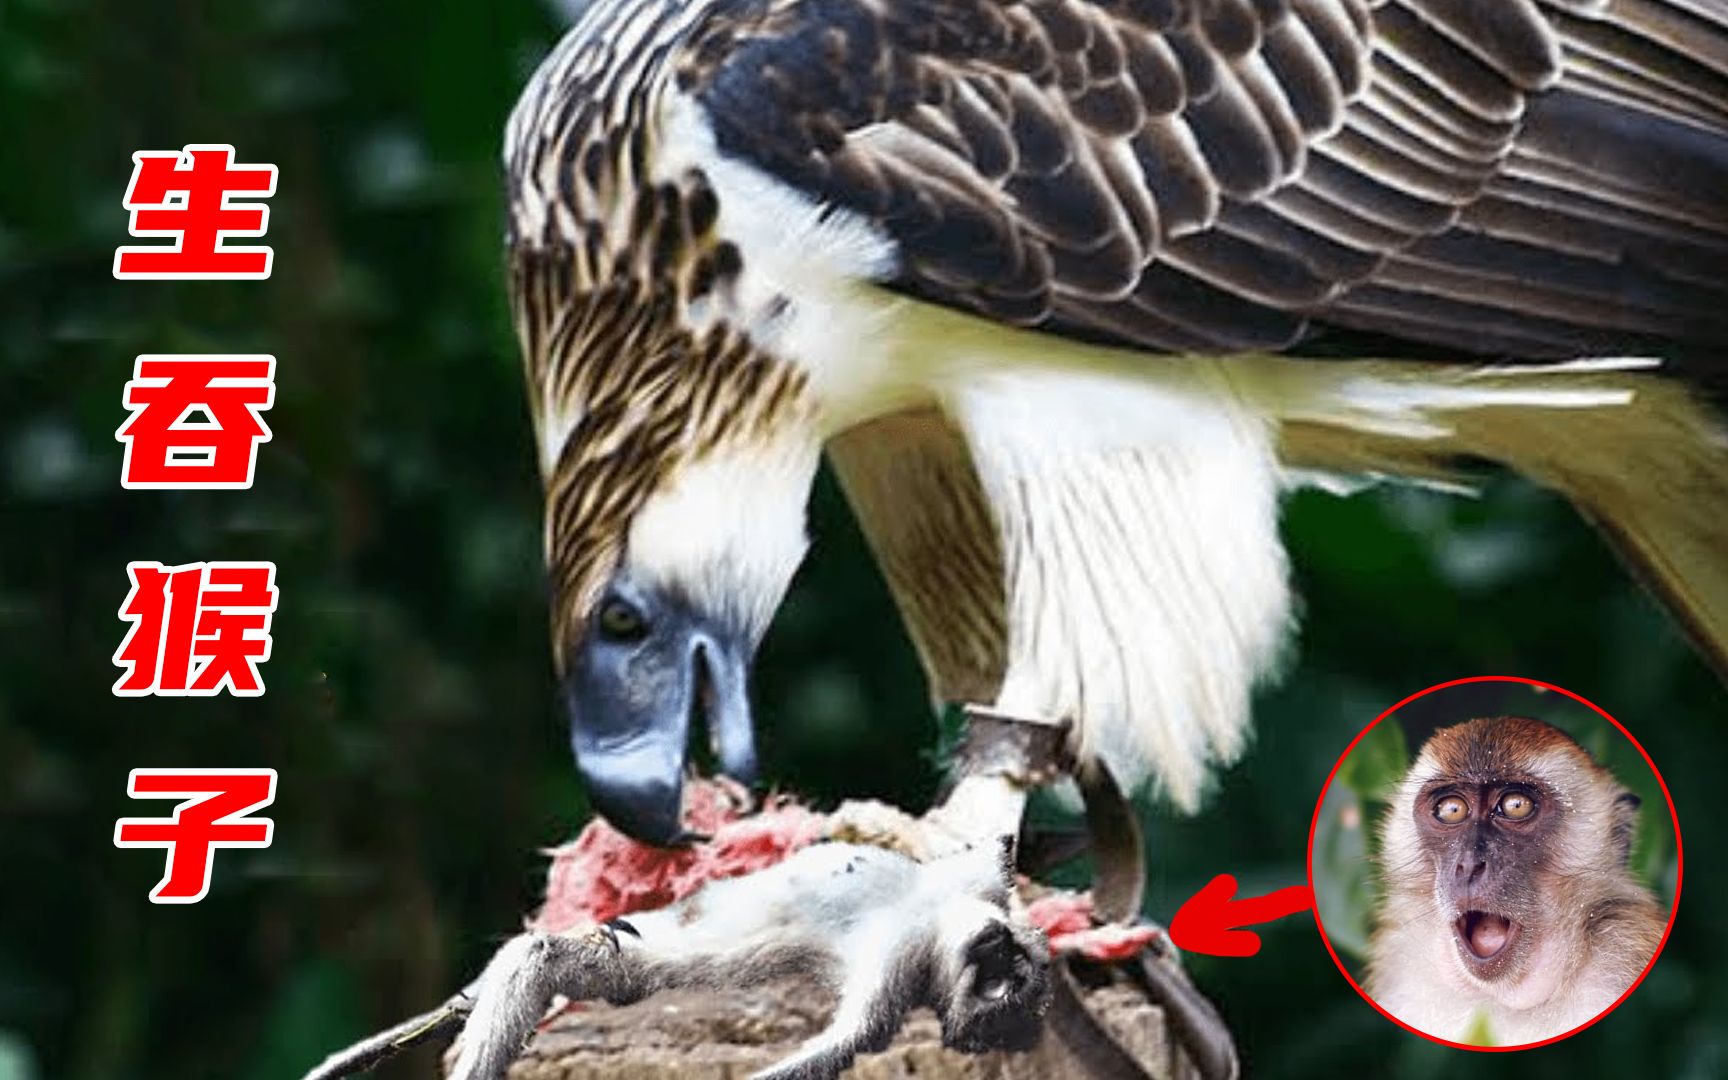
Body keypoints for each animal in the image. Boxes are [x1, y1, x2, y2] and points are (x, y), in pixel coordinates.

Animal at [430, 839, 1050, 1080]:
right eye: (1004, 963)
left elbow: (850, 1039)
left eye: (1002, 982)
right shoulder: (978, 890)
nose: (995, 943)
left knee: (545, 957)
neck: (936, 919)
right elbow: (995, 854)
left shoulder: (898, 966)